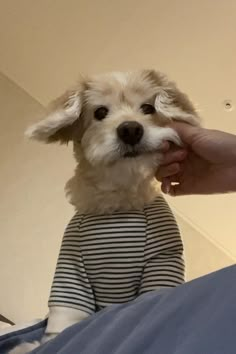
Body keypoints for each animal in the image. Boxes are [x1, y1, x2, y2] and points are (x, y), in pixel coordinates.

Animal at [10, 70, 199, 352]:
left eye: (148, 108)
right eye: (100, 112)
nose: (131, 129)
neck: (118, 200)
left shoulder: (162, 260)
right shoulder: (71, 268)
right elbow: (64, 319)